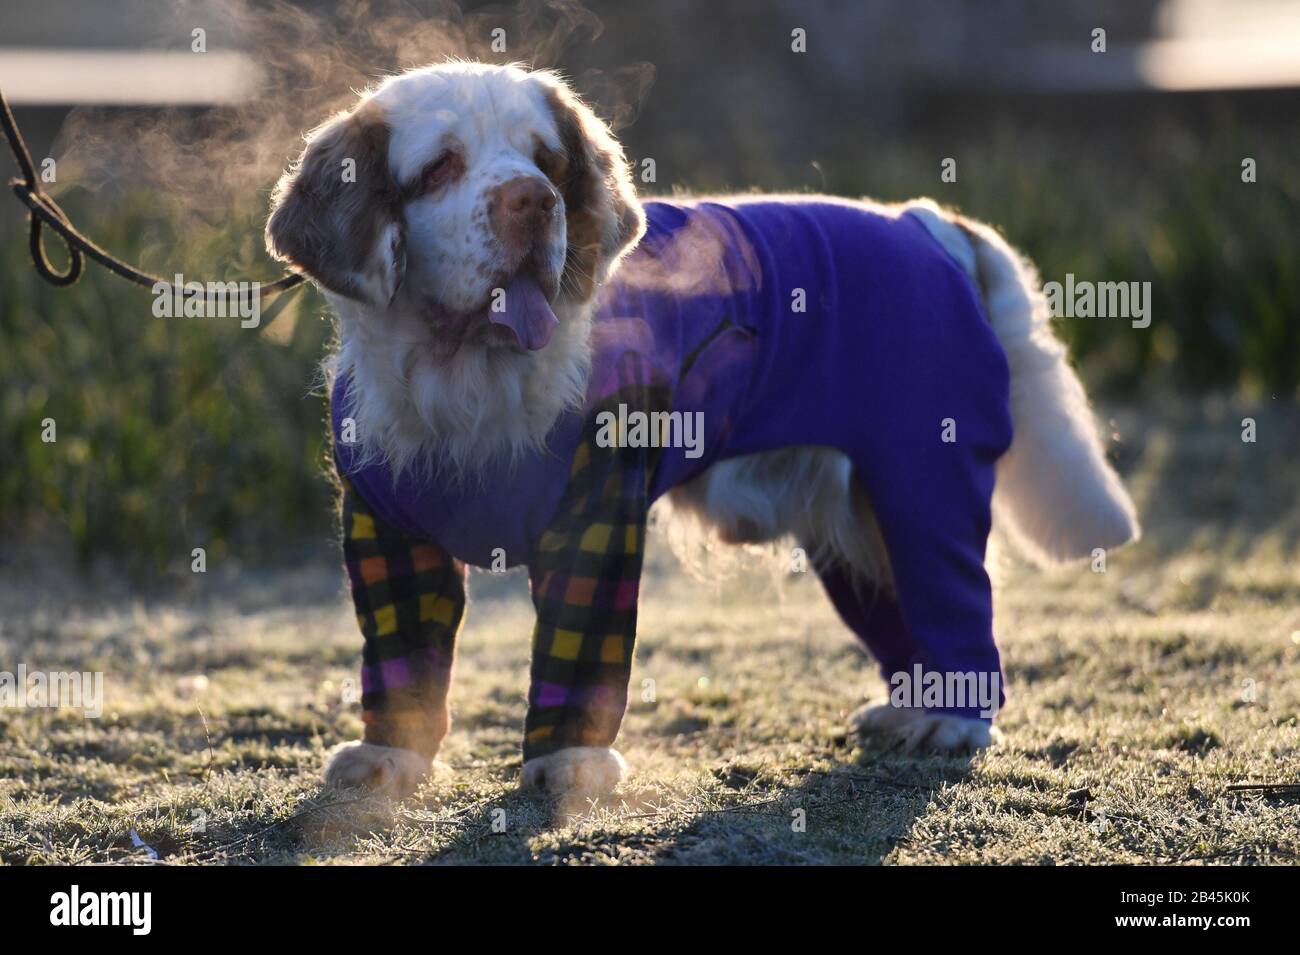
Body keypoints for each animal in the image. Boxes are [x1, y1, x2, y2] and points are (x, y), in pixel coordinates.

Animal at [263, 61, 1138, 800]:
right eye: (441, 167)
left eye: (547, 162)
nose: (534, 201)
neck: (472, 376)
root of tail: (929, 225)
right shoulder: (388, 532)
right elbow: (401, 657)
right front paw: (391, 757)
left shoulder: (594, 520)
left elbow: (580, 652)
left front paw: (570, 764)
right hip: (857, 514)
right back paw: (908, 708)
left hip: (924, 487)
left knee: (958, 603)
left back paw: (950, 720)